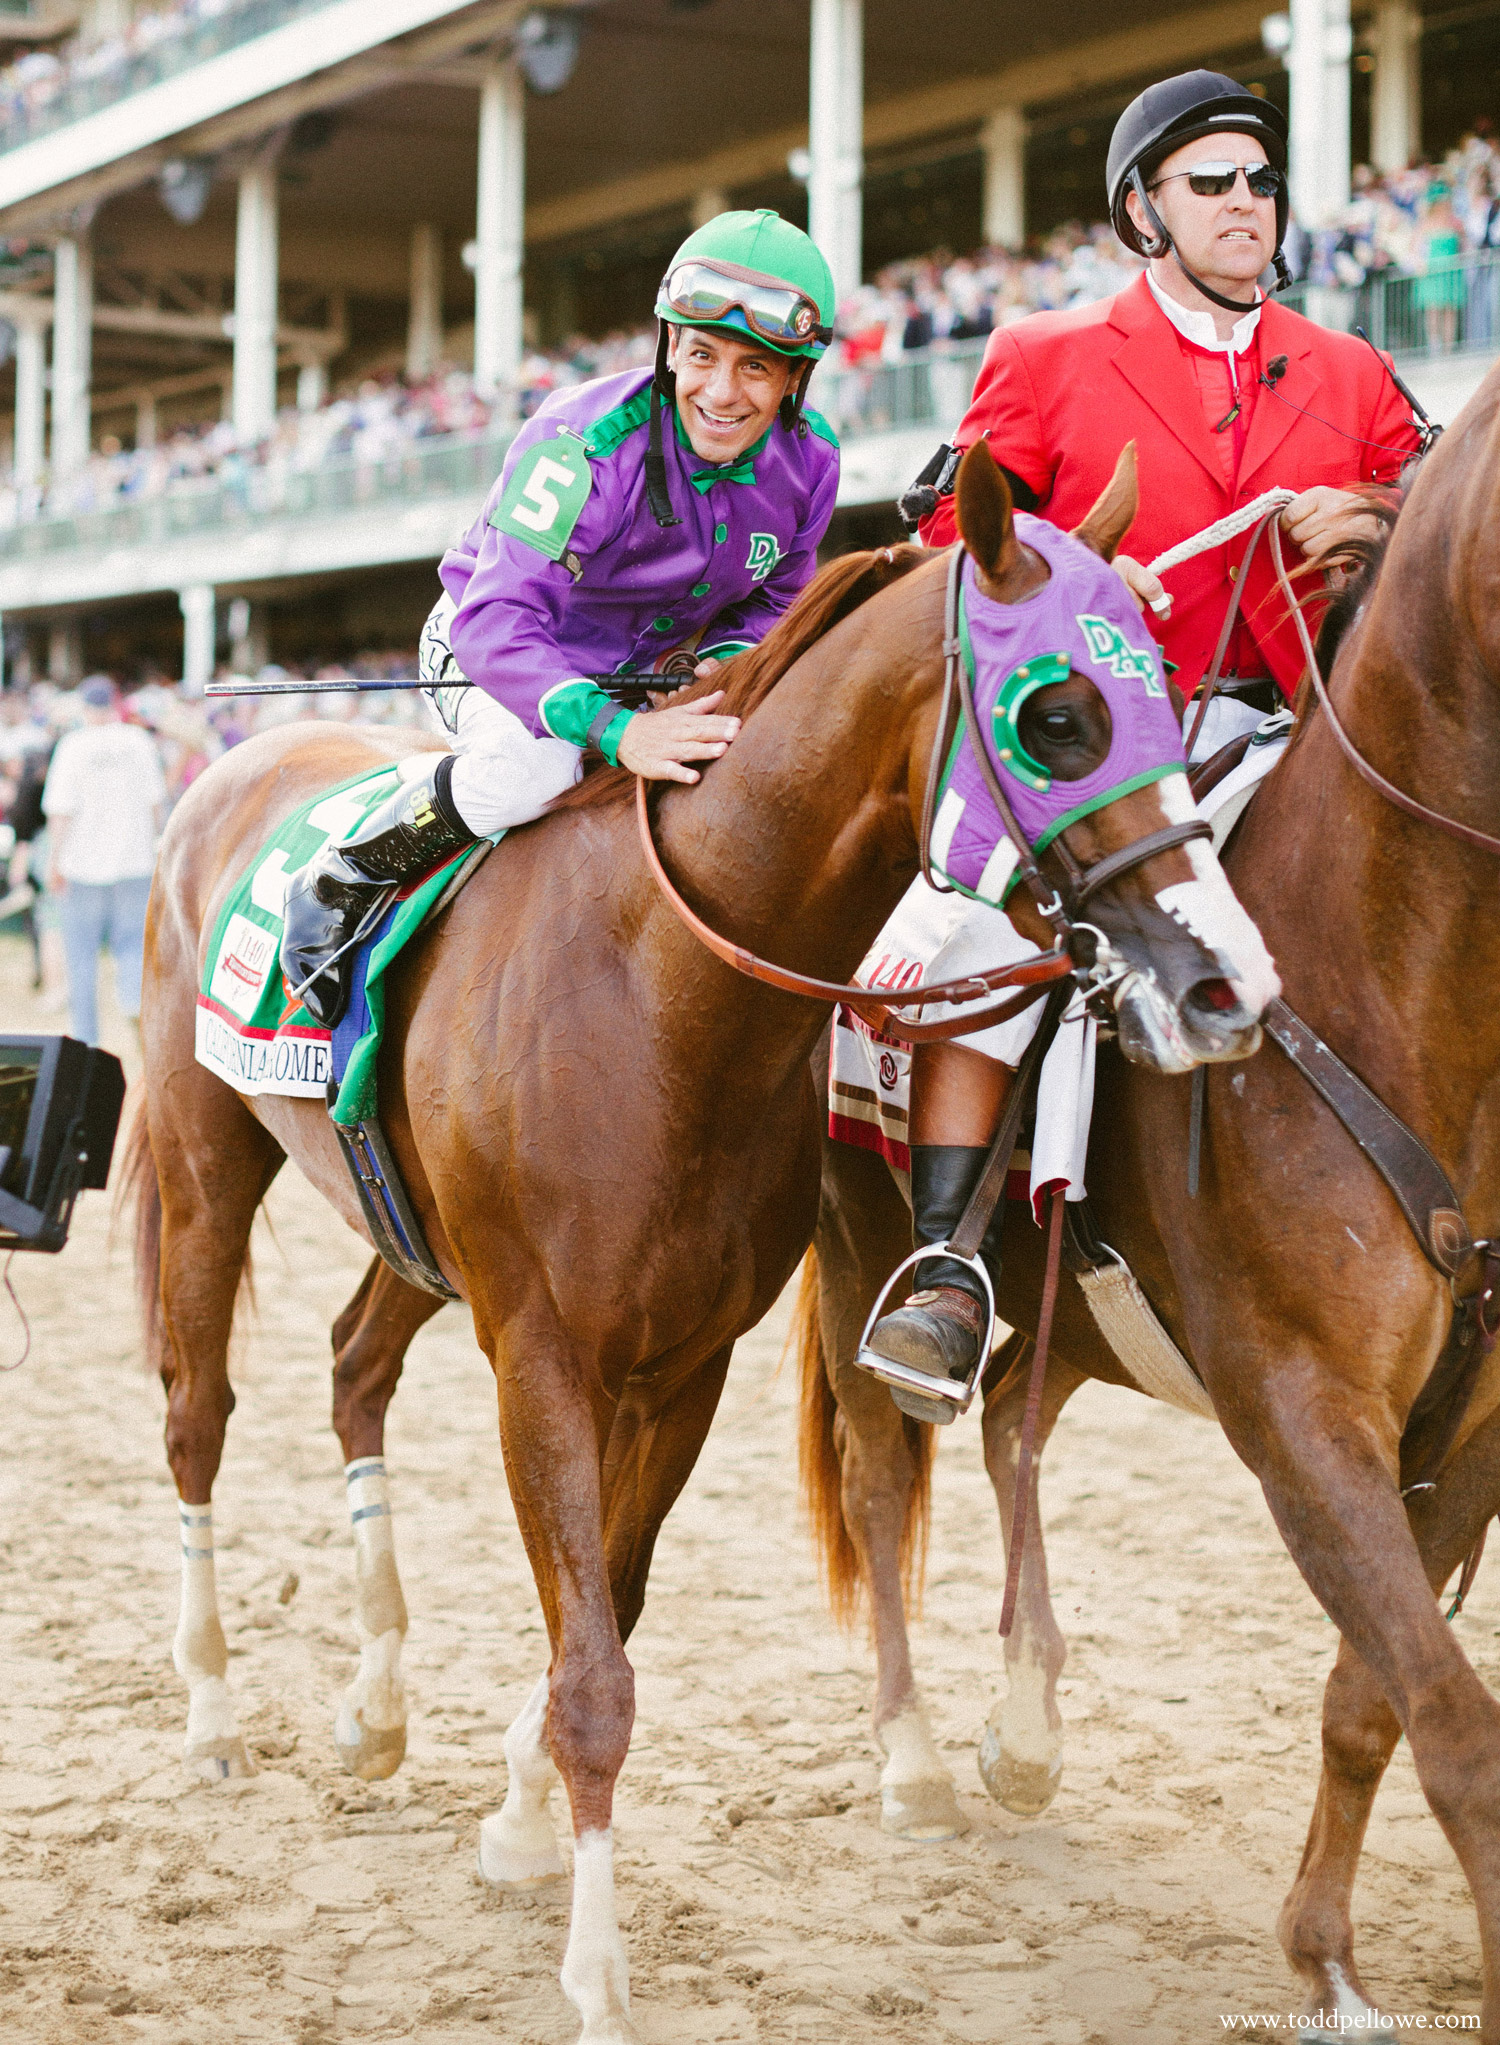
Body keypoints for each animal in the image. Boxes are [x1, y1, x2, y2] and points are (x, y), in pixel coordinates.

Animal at [128, 443, 1268, 2028]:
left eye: (1169, 682)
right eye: (1058, 714)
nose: (1226, 980)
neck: (661, 984)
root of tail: (224, 771)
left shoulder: (682, 1361)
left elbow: (606, 1611)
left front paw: (517, 1820)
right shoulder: (543, 1356)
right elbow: (595, 1671)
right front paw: (598, 1975)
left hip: (414, 1235)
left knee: (353, 1362)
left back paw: (375, 1703)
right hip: (203, 1154)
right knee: (195, 1413)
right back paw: (213, 1710)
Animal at [802, 376, 1497, 2020]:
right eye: (1055, 713)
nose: (1216, 988)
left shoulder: (1473, 1435)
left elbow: (1376, 1697)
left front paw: (1326, 1958)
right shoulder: (1306, 1415)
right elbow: (1454, 1729)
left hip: (1075, 1305)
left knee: (1011, 1424)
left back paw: (1025, 1726)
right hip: (856, 1245)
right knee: (882, 1476)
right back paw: (919, 1758)